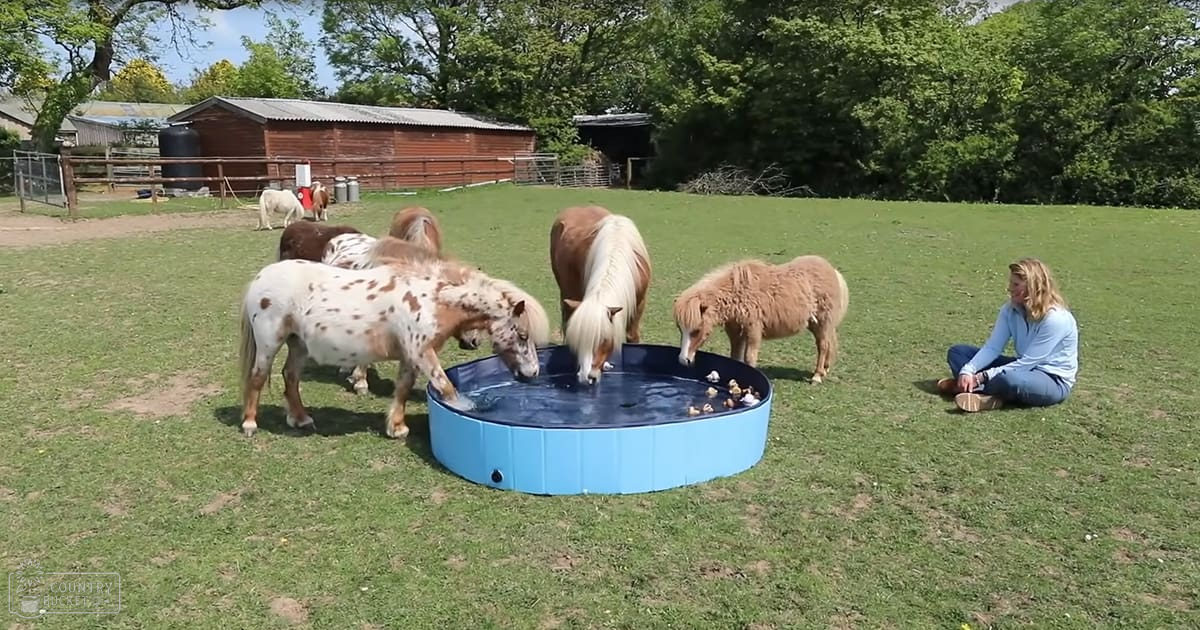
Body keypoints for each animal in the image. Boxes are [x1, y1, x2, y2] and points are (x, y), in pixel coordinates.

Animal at [237, 256, 551, 440]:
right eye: (523, 335)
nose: (534, 374)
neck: (431, 299)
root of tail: (260, 278)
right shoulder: (422, 353)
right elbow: (446, 387)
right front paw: (464, 409)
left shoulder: (410, 356)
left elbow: (402, 389)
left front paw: (396, 427)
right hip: (269, 342)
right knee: (258, 377)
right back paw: (250, 424)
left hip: (299, 345)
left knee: (290, 377)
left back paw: (301, 419)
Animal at [673, 254, 849, 383]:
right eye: (680, 330)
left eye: (696, 330)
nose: (683, 360)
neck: (738, 293)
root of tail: (833, 271)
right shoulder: (736, 333)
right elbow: (735, 357)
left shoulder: (753, 330)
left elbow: (749, 358)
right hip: (815, 324)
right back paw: (824, 369)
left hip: (823, 322)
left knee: (823, 346)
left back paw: (817, 376)